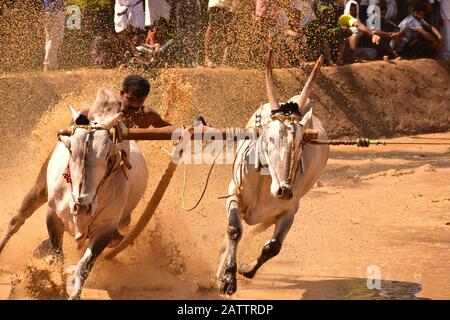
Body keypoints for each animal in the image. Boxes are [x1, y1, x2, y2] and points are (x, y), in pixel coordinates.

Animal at [46, 89, 146, 300]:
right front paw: (57, 285)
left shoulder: (105, 229)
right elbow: (58, 257)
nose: (82, 204)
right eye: (70, 149)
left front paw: (75, 293)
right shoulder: (52, 216)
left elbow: (84, 266)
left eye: (108, 155)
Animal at [216, 51, 328, 294]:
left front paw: (246, 269)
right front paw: (227, 278)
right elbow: (234, 229)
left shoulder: (290, 210)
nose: (284, 190)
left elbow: (273, 246)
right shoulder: (234, 191)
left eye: (300, 142)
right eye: (269, 138)